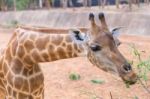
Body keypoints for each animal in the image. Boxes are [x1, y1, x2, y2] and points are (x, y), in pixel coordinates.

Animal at [0, 12, 137, 98]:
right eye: (94, 47)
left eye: (118, 43)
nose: (132, 75)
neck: (26, 59)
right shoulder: (14, 95)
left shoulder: (38, 93)